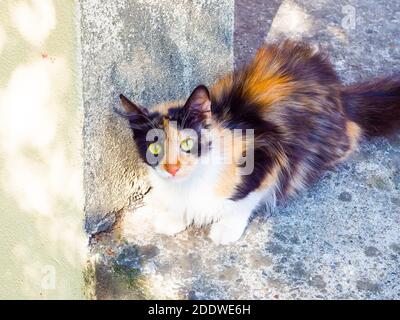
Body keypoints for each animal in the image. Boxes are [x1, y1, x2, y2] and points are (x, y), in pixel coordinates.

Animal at [117, 40, 398, 245]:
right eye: (155, 147)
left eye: (188, 143)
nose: (172, 168)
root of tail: (340, 92)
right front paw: (172, 218)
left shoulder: (268, 154)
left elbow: (245, 200)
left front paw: (226, 229)